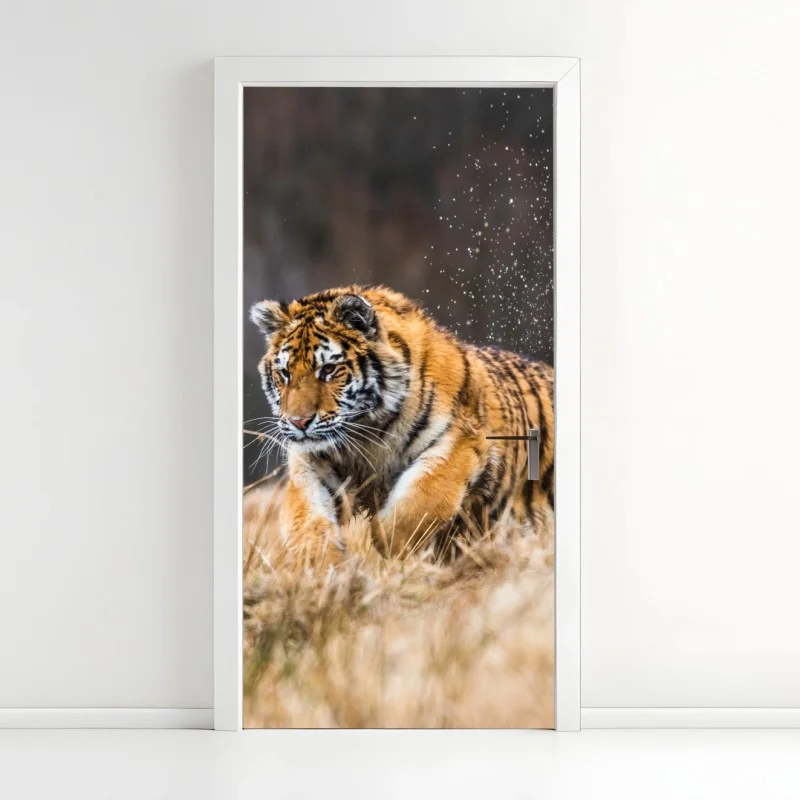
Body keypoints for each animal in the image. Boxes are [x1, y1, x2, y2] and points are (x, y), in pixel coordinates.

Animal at [249, 284, 554, 566]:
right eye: (285, 373)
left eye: (328, 370)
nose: (298, 422)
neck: (366, 432)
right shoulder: (311, 461)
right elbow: (306, 516)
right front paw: (318, 564)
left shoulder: (458, 444)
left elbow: (422, 500)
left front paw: (387, 547)